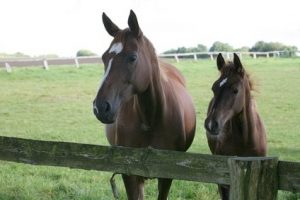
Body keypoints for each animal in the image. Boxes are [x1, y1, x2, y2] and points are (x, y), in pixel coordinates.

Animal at [94, 10, 197, 200]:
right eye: (104, 57)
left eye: (132, 57)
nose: (101, 107)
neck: (150, 121)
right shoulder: (129, 173)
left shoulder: (167, 174)